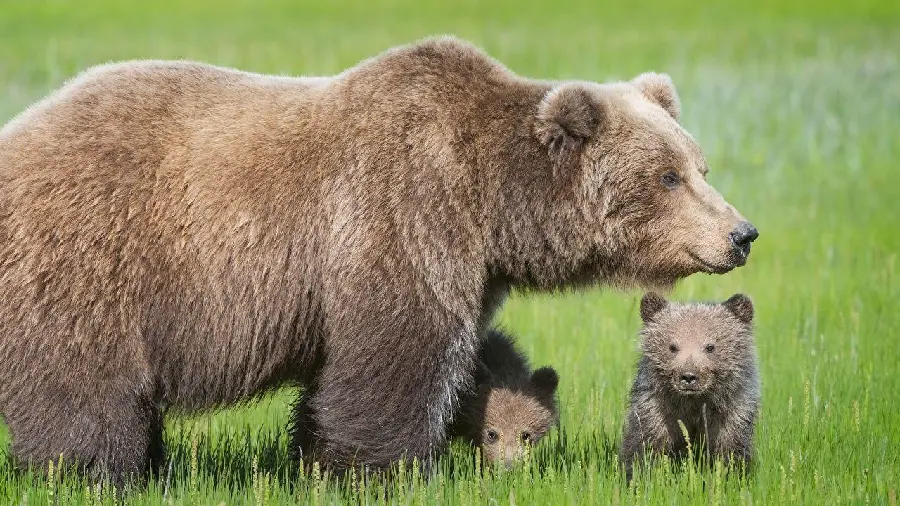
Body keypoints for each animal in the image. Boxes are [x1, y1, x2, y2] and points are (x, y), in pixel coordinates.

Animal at [0, 35, 756, 482]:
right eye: (667, 176)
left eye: (700, 166)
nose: (742, 233)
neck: (490, 201)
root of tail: (18, 132)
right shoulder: (400, 217)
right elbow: (396, 357)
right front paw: (381, 468)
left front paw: (315, 457)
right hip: (90, 259)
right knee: (84, 386)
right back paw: (94, 472)